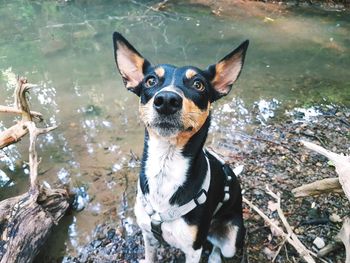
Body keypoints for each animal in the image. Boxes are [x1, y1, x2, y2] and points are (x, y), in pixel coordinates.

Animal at [113, 31, 249, 263]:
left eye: (198, 84)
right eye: (150, 80)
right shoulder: (147, 234)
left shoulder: (193, 248)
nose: (167, 99)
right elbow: (150, 255)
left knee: (218, 247)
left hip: (232, 240)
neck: (165, 163)